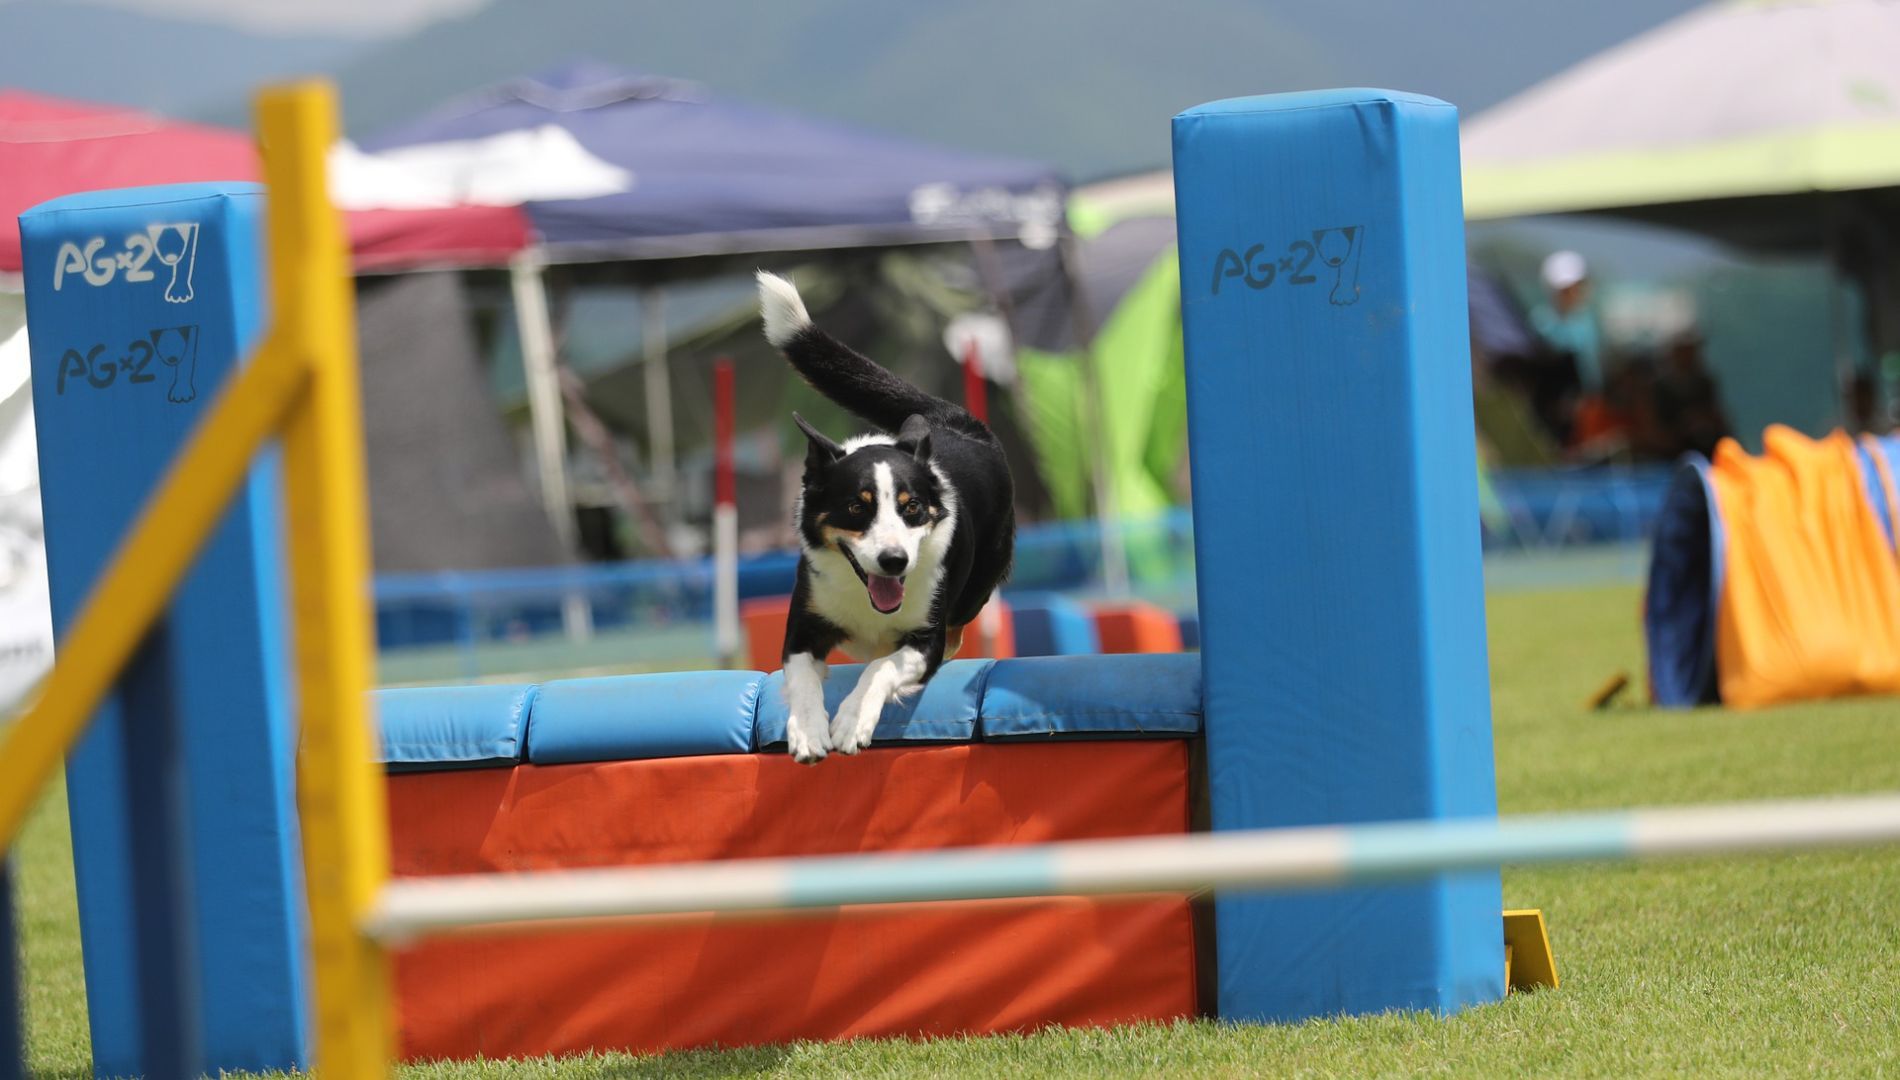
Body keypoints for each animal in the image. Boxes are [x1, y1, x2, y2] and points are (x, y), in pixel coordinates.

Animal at [752, 270, 1018, 760]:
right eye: (857, 507)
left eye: (911, 507)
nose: (894, 561)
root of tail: (954, 420)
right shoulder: (802, 627)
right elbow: (800, 679)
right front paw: (809, 732)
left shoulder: (925, 641)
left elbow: (882, 668)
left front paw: (851, 722)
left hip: (976, 588)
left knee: (955, 632)